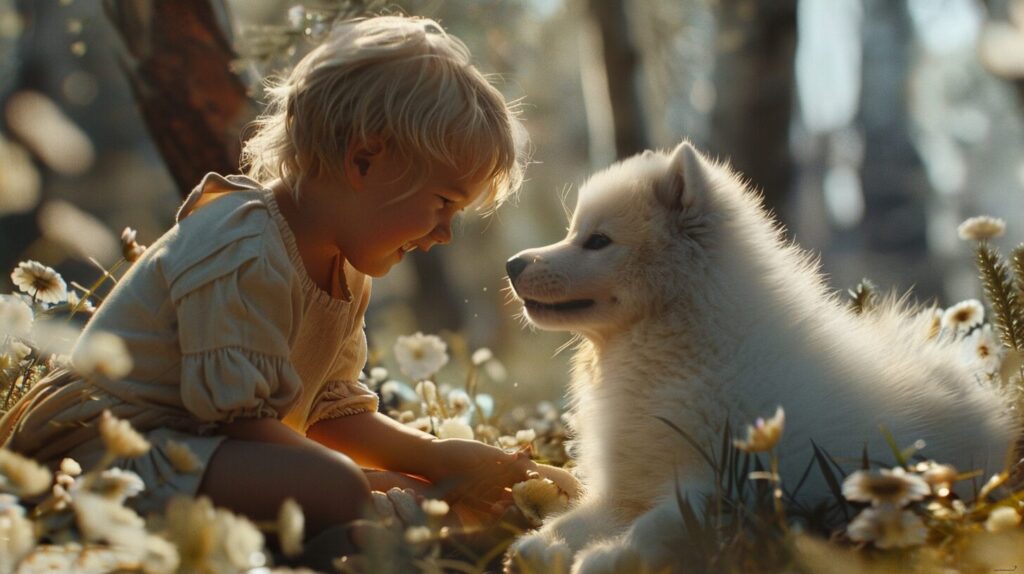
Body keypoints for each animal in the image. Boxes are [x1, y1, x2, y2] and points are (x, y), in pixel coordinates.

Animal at [501, 141, 1015, 568]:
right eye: (574, 233)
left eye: (598, 241)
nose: (512, 264)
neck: (675, 349)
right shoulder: (623, 489)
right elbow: (575, 520)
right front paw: (542, 545)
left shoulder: (734, 487)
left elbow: (658, 524)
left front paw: (609, 556)